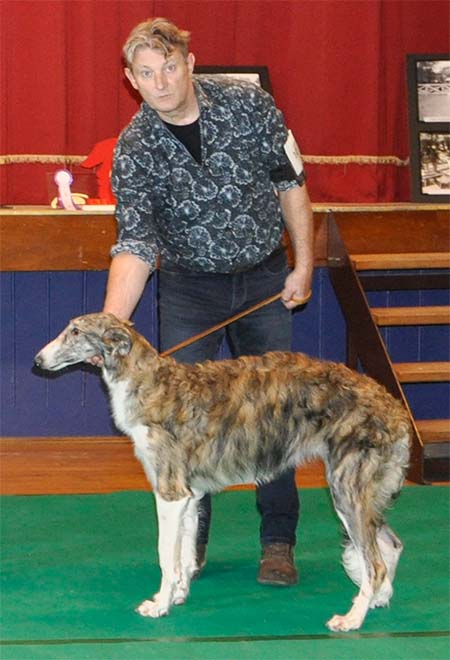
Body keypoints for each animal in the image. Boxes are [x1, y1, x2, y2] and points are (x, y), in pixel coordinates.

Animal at [34, 312, 410, 631]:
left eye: (76, 331)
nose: (37, 361)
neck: (149, 382)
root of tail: (392, 404)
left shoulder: (170, 492)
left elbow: (165, 555)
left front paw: (159, 606)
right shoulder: (189, 494)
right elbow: (184, 554)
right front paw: (176, 595)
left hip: (346, 488)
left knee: (375, 562)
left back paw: (352, 619)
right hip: (362, 492)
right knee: (391, 545)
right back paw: (378, 600)